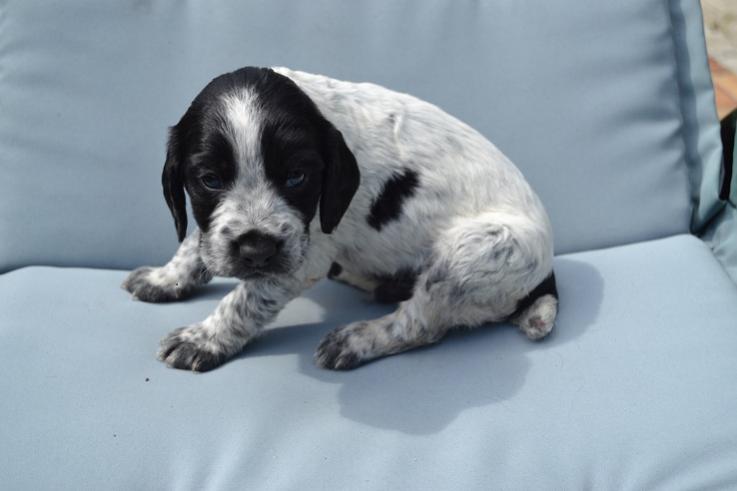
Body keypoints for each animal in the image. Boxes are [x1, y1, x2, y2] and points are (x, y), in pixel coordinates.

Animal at [122, 66, 558, 372]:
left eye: (297, 177)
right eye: (209, 179)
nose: (256, 250)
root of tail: (547, 278)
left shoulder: (302, 256)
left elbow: (243, 301)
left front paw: (204, 339)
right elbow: (193, 245)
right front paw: (164, 279)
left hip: (469, 256)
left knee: (420, 325)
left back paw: (356, 339)